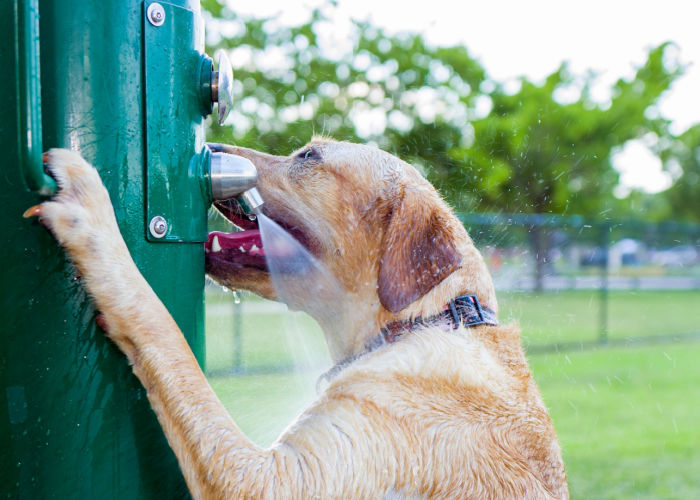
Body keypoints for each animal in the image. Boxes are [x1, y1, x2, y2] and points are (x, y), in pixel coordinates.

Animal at [30, 142, 572, 500]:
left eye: (309, 157)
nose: (209, 148)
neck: (425, 320)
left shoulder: (270, 481)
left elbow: (165, 332)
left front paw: (93, 218)